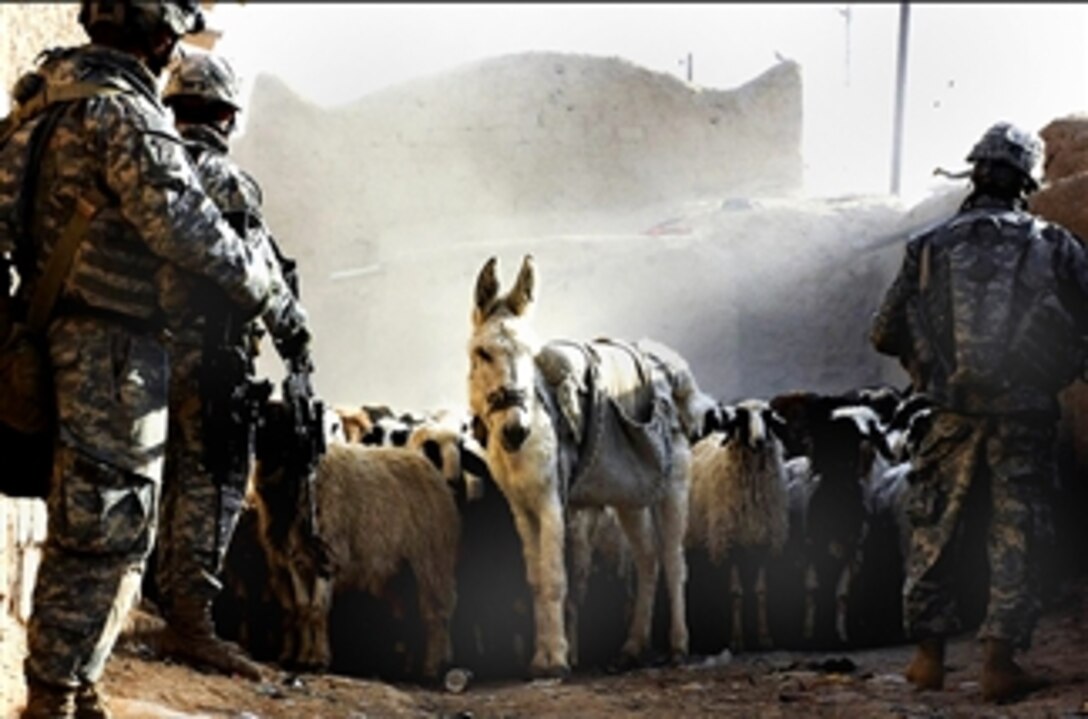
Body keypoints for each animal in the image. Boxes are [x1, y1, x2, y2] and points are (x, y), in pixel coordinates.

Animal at [250, 398, 459, 678]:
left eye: (277, 420)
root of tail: (425, 464)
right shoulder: (295, 559)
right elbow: (302, 610)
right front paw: (299, 658)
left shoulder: (328, 555)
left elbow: (317, 611)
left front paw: (317, 660)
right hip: (397, 570)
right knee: (409, 614)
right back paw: (408, 668)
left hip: (432, 557)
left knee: (437, 612)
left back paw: (434, 667)